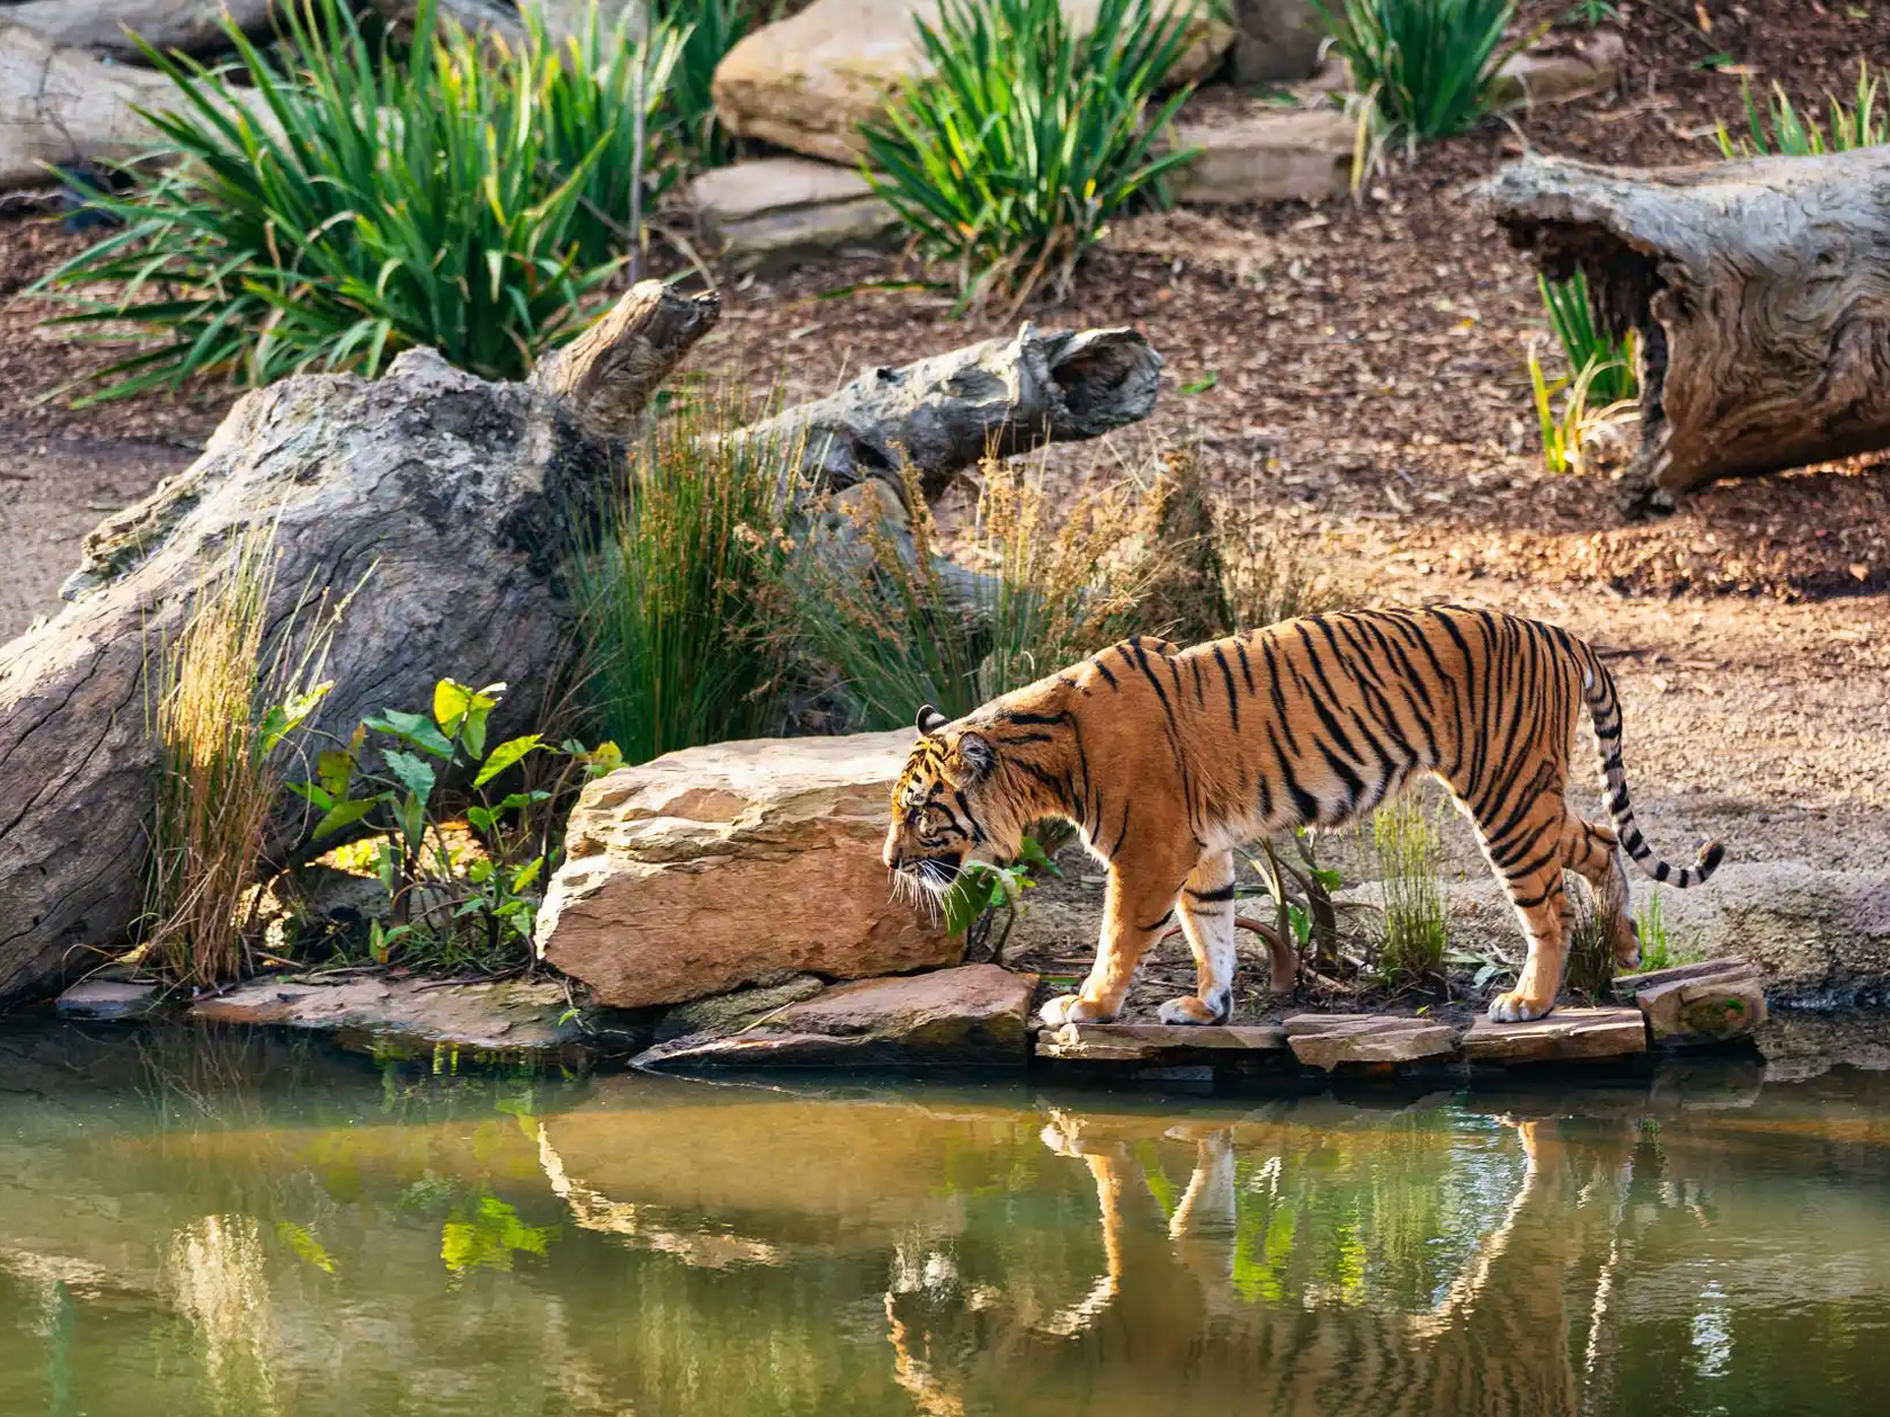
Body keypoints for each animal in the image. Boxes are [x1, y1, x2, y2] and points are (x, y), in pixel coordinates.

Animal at [876, 604, 1723, 1027]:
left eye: (919, 813)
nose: (885, 862)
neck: (1043, 754)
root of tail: (1557, 629)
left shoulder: (1148, 852)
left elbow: (1119, 938)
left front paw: (1085, 1004)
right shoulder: (1200, 850)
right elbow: (1211, 930)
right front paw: (1206, 1004)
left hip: (1504, 794)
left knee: (1548, 908)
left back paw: (1530, 1000)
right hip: (1531, 792)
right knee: (1602, 839)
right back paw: (1625, 944)